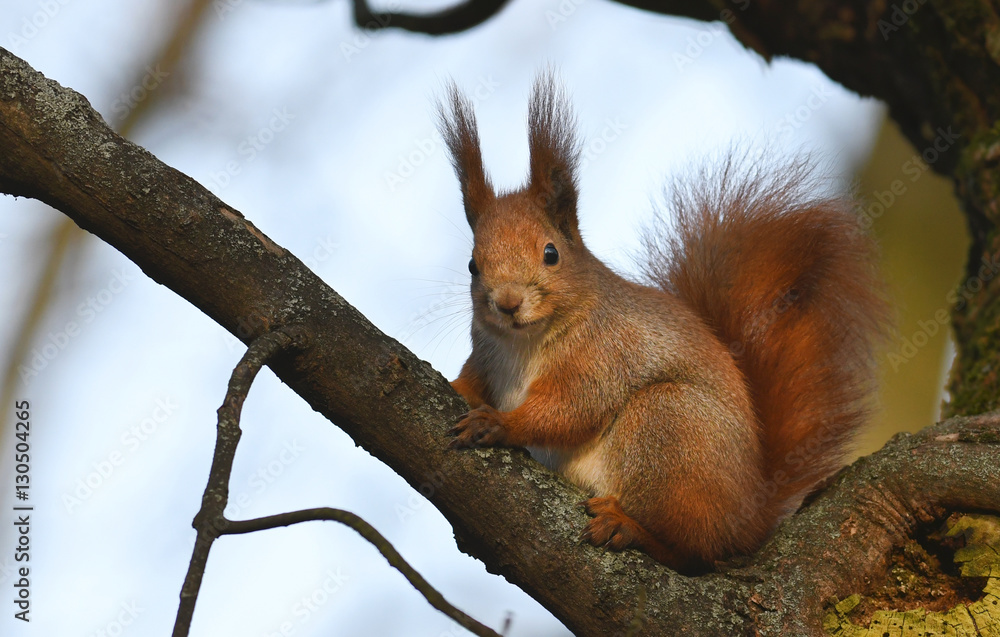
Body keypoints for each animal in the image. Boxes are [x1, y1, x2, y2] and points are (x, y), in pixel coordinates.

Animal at [439, 73, 890, 574]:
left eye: (551, 253)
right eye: (473, 265)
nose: (507, 303)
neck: (524, 341)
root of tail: (750, 515)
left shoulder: (604, 355)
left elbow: (568, 409)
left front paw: (500, 424)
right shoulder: (487, 352)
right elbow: (474, 379)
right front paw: (456, 387)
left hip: (668, 426)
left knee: (691, 549)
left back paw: (629, 527)